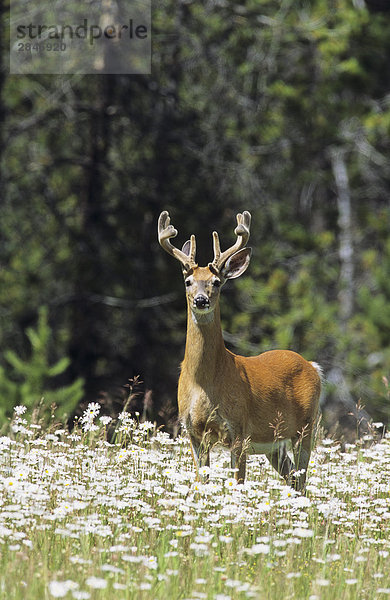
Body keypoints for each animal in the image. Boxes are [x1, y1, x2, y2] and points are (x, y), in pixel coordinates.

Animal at [157, 211, 322, 492]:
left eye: (216, 282)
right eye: (188, 281)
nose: (201, 300)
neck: (204, 383)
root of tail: (312, 366)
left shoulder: (239, 429)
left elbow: (238, 482)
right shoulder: (192, 432)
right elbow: (202, 482)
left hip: (305, 426)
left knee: (301, 479)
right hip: (274, 443)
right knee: (291, 477)